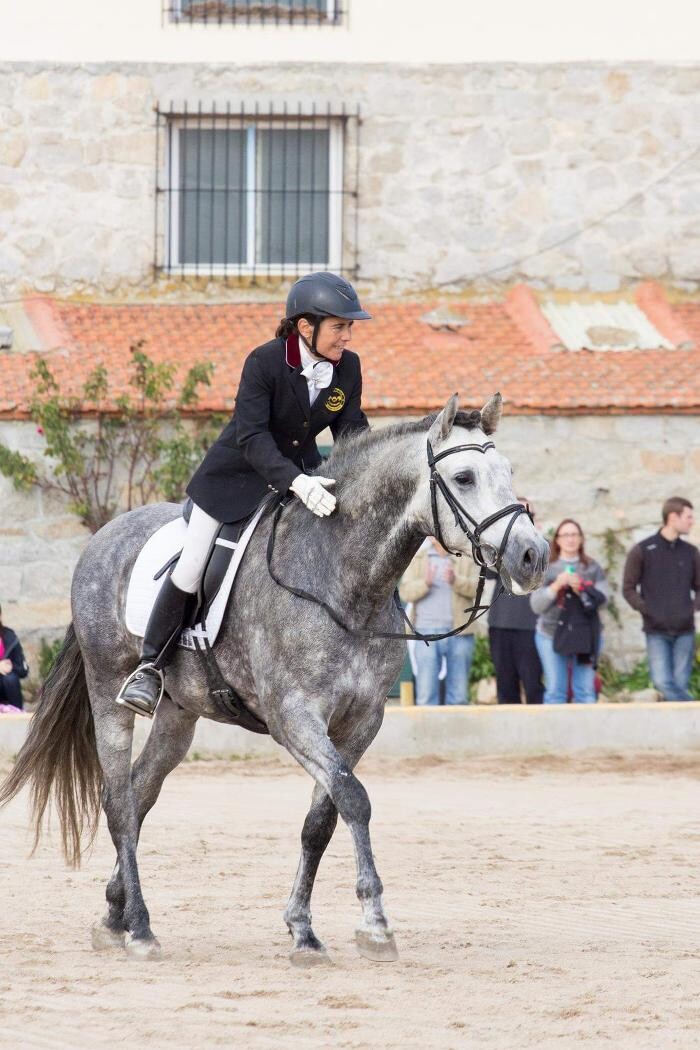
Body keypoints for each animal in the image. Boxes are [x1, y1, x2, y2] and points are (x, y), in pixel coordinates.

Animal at [1, 394, 545, 965]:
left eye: (508, 472)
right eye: (464, 477)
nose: (533, 556)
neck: (342, 579)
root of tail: (102, 537)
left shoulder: (361, 722)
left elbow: (321, 820)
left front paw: (302, 929)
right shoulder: (294, 717)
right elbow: (355, 799)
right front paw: (374, 923)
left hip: (179, 711)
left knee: (141, 790)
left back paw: (114, 914)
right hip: (109, 690)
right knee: (119, 802)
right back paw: (142, 928)